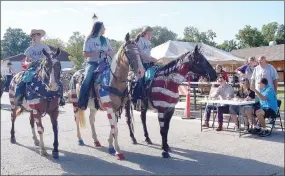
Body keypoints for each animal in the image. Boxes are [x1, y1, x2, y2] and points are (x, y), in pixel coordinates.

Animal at [68, 32, 144, 160]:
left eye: (139, 50)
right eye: (128, 52)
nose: (141, 71)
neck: (113, 81)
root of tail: (75, 74)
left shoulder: (116, 108)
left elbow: (113, 128)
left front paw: (110, 146)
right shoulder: (109, 107)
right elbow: (115, 129)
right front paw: (118, 151)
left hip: (93, 106)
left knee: (91, 119)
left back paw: (96, 141)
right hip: (75, 103)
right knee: (77, 119)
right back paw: (80, 140)